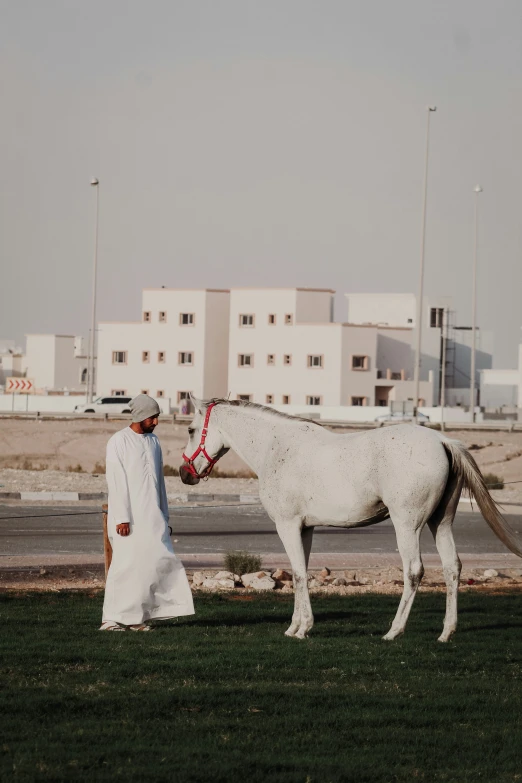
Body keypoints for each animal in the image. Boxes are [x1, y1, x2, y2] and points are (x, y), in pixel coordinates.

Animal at [180, 402, 520, 640]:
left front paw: (303, 629)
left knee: (414, 571)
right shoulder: (305, 528)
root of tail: (441, 440)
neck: (276, 448)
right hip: (441, 523)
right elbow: (300, 573)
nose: (185, 474)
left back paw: (394, 631)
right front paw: (294, 626)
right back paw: (446, 632)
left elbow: (299, 575)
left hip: (407, 525)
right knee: (452, 568)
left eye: (191, 430)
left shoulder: (287, 526)